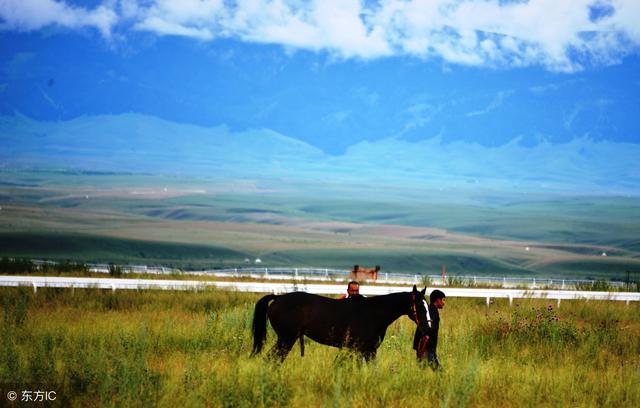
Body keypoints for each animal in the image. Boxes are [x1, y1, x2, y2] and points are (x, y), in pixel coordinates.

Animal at [252, 286, 428, 360]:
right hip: (286, 339)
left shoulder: (365, 350)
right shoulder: (362, 349)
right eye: (420, 306)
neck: (374, 313)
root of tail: (277, 298)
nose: (427, 328)